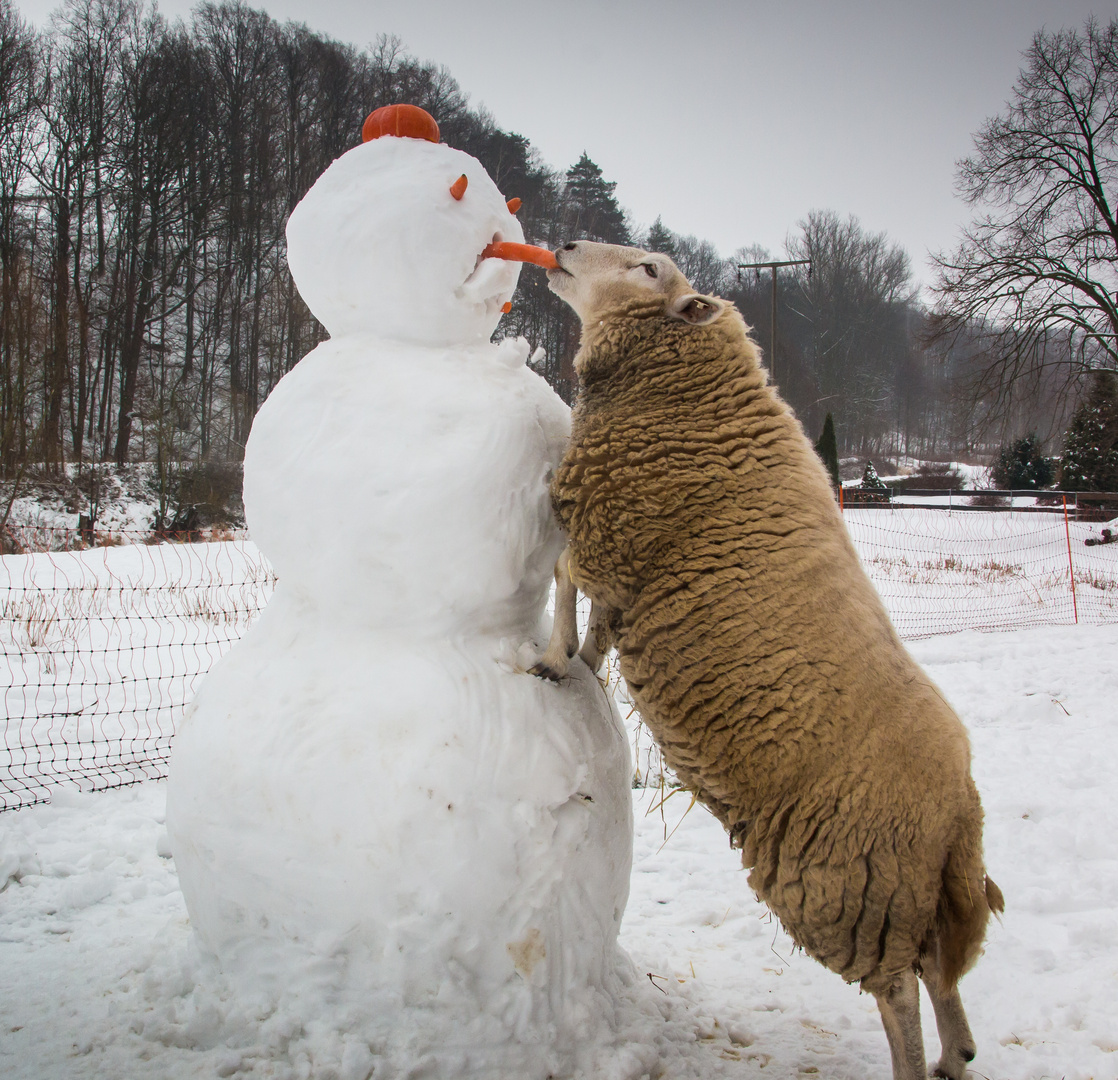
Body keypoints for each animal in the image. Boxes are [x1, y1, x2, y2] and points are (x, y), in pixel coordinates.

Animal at [532, 242, 1006, 1080]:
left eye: (650, 269)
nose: (564, 248)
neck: (681, 386)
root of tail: (959, 805)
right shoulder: (619, 557)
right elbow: (601, 624)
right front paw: (585, 662)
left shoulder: (610, 527)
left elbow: (564, 581)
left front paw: (558, 661)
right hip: (905, 889)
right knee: (935, 966)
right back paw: (958, 1053)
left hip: (847, 881)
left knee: (898, 989)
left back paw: (918, 1060)